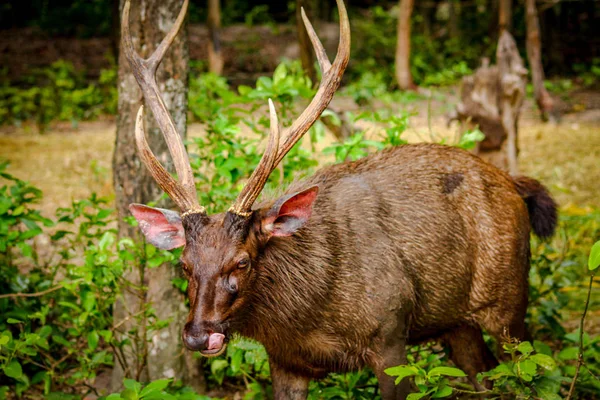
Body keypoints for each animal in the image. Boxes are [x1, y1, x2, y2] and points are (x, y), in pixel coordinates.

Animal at [122, 0, 556, 396]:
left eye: (242, 261)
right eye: (184, 264)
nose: (199, 336)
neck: (310, 318)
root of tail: (516, 185)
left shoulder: (391, 336)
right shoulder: (285, 360)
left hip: (510, 304)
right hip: (457, 323)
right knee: (485, 376)